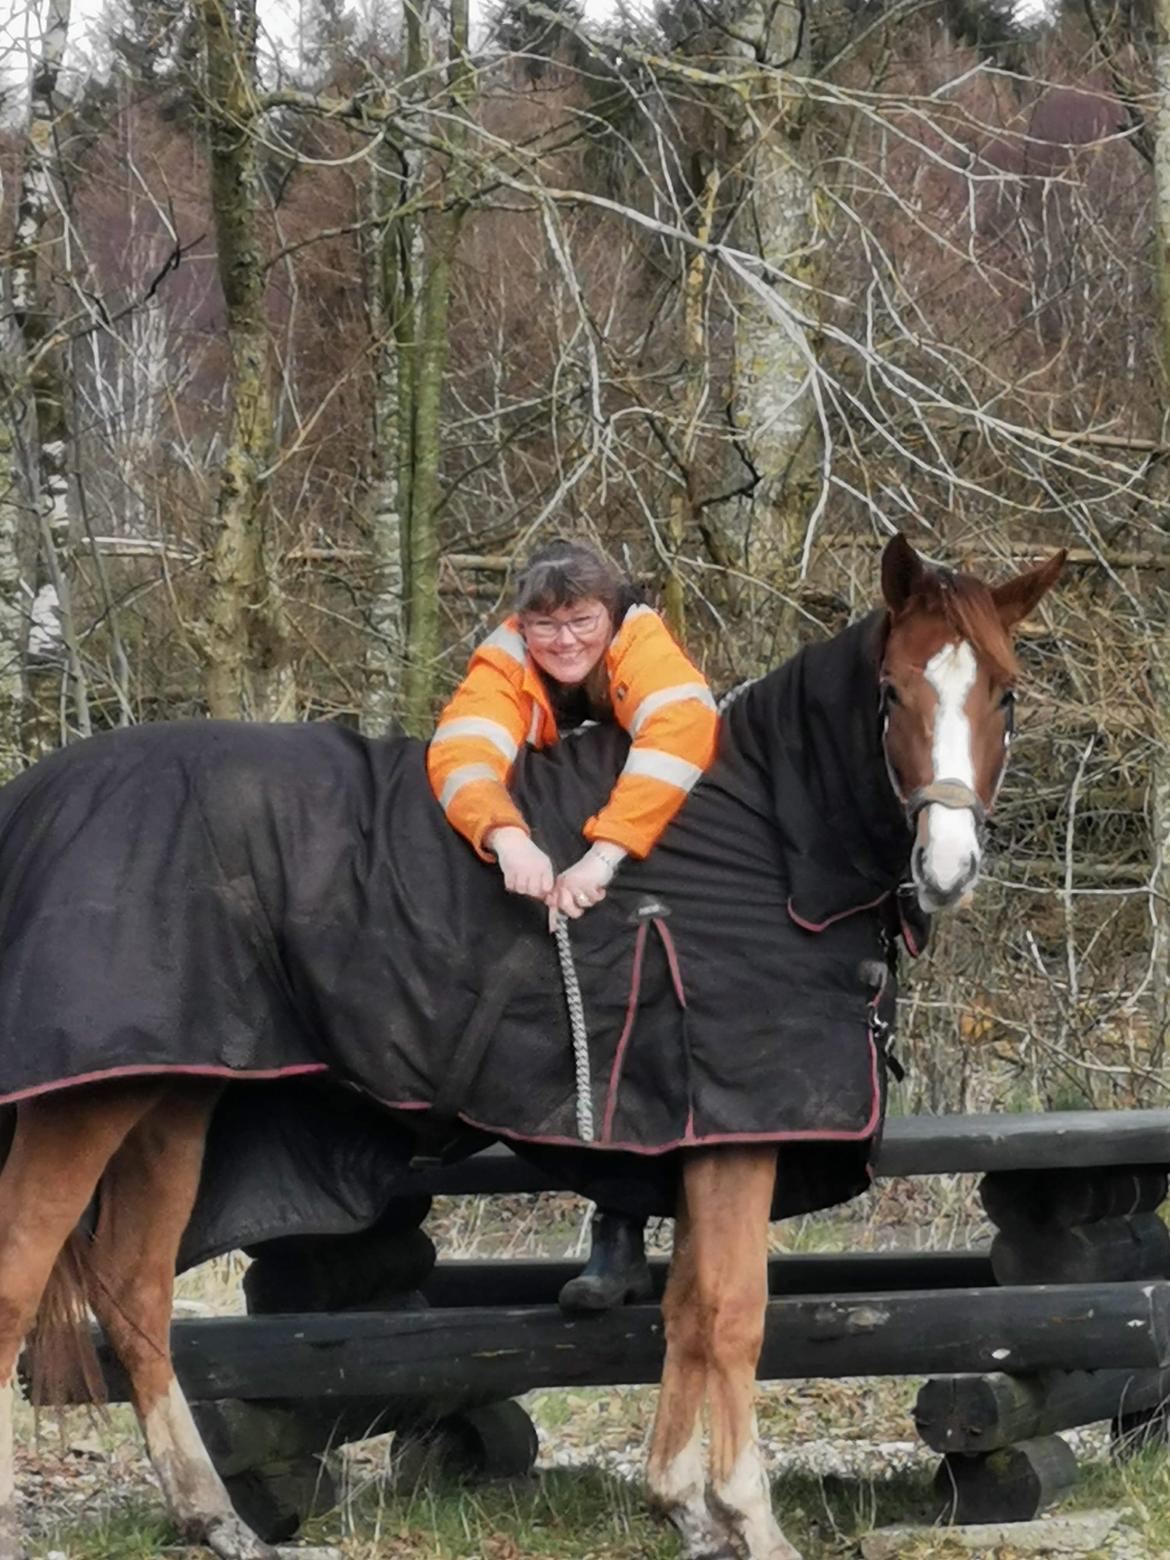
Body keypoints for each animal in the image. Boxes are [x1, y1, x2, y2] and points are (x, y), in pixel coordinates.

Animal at [0, 536, 1060, 1560]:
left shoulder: (694, 1141)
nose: (950, 865)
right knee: (21, 1281)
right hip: (80, 1103)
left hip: (173, 1098)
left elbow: (685, 1311)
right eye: (893, 690)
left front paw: (684, 1507)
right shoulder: (736, 1134)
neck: (770, 840)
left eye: (1006, 691)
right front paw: (748, 1519)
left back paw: (214, 1518)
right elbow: (732, 1315)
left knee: (137, 1294)